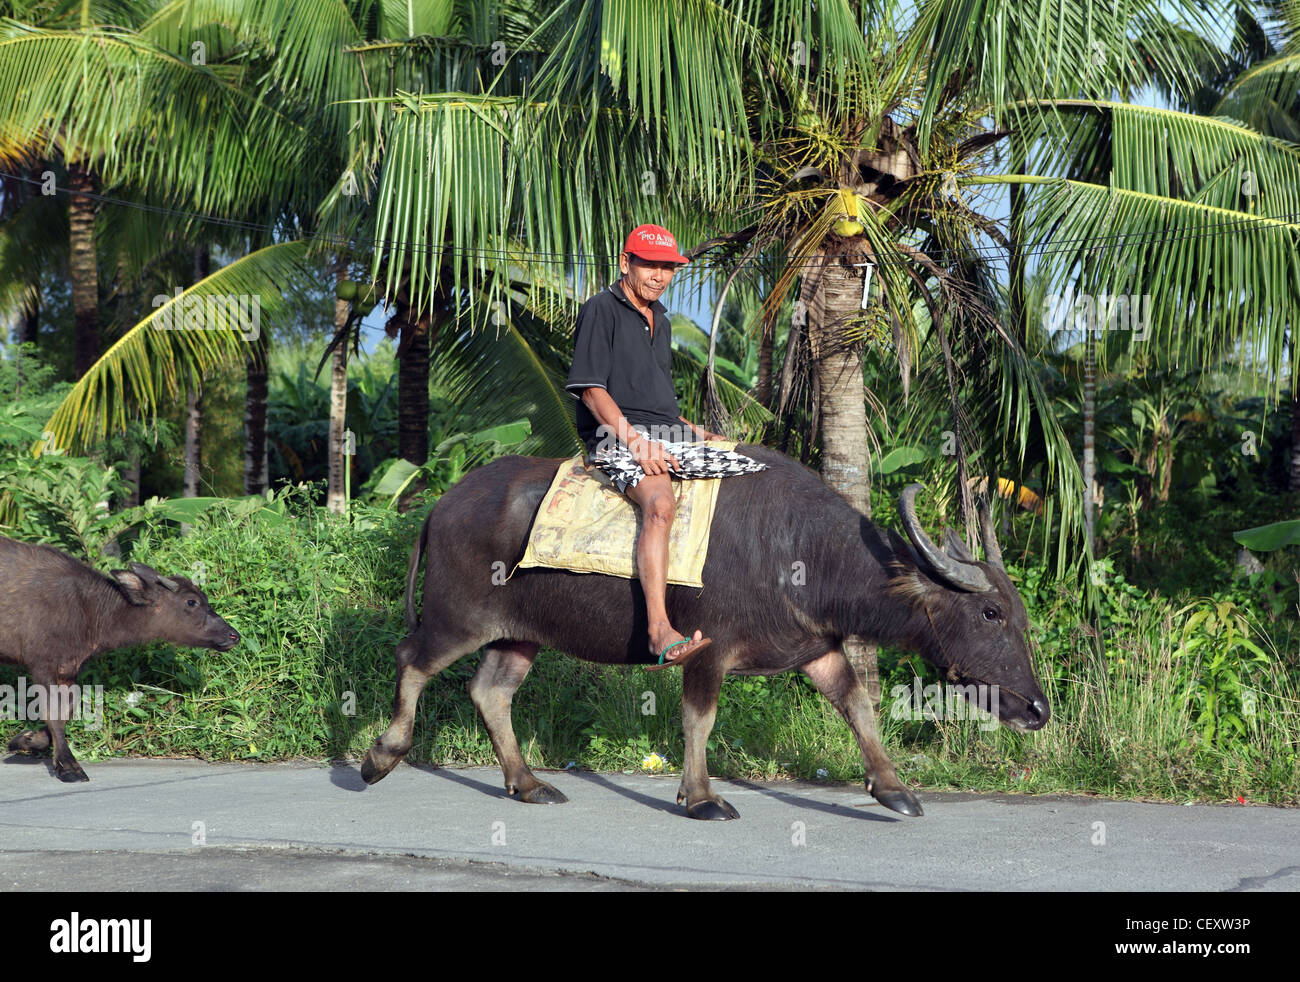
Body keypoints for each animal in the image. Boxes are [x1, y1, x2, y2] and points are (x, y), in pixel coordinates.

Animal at [361, 450, 1050, 816]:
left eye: (1017, 615)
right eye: (991, 614)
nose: (1036, 709)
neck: (800, 553)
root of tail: (441, 504)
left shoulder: (817, 649)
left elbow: (858, 706)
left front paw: (893, 790)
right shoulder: (708, 651)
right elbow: (700, 719)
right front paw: (700, 797)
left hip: (518, 635)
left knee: (491, 691)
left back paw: (529, 785)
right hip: (458, 618)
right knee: (411, 657)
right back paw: (379, 757)